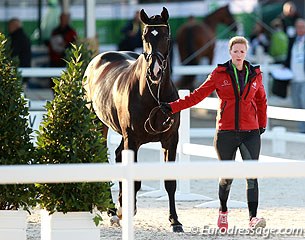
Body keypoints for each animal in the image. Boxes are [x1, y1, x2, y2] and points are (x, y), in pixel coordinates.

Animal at [83, 7, 182, 232]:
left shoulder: (170, 139)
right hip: (98, 125)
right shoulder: (133, 139)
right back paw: (112, 209)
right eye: (145, 36)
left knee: (118, 155)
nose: (155, 71)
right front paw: (125, 211)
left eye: (166, 36)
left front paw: (175, 221)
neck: (154, 96)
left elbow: (170, 182)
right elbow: (133, 178)